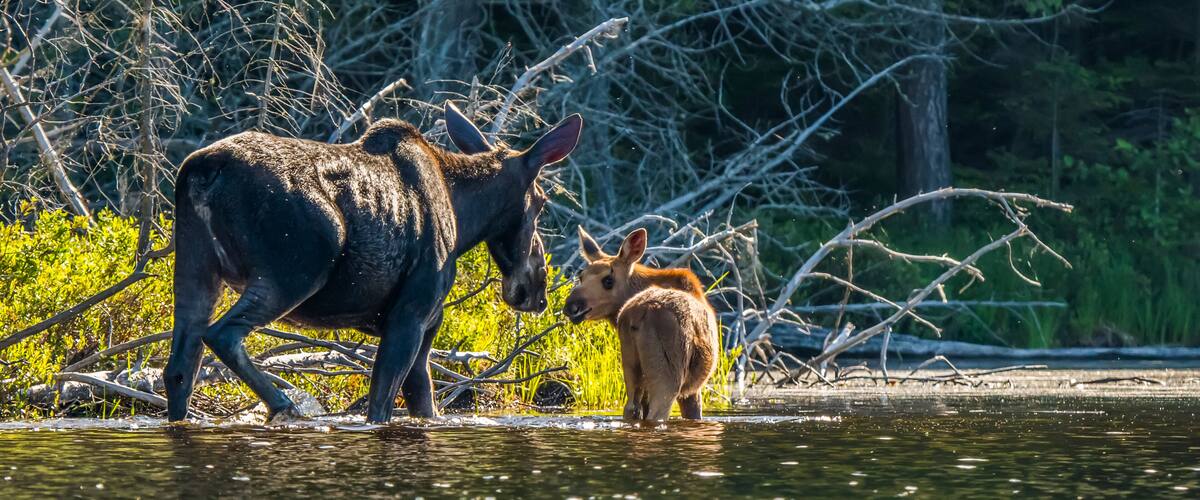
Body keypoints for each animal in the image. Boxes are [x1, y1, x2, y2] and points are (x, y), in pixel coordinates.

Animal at [163, 102, 582, 424]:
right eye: (542, 202)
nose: (537, 290)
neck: (465, 219)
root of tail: (203, 168)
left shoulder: (424, 328)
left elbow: (423, 404)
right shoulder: (410, 315)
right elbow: (380, 405)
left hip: (196, 267)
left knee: (180, 366)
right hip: (296, 270)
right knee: (223, 334)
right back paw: (285, 406)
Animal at [563, 227, 719, 421]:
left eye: (608, 280)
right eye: (582, 276)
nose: (571, 305)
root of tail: (638, 314)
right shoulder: (692, 391)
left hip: (631, 367)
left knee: (630, 409)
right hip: (667, 377)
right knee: (656, 413)